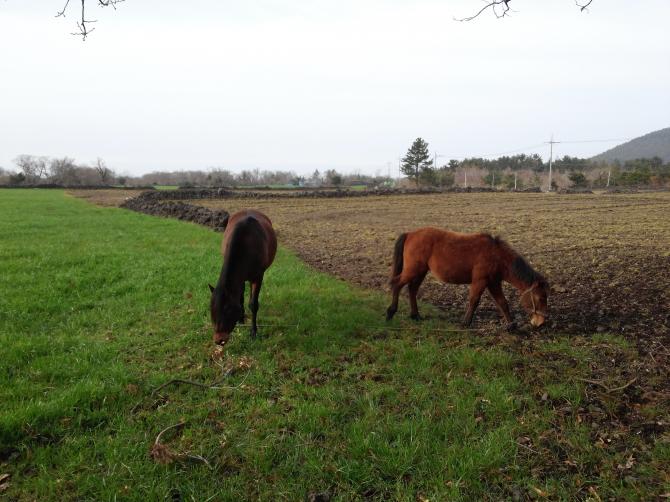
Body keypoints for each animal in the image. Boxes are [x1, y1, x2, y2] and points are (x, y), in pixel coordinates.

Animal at [207, 209, 276, 346]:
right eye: (211, 310)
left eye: (227, 310)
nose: (219, 340)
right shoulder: (240, 278)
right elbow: (240, 297)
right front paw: (240, 319)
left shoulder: (258, 276)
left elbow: (253, 304)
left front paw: (253, 332)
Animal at [386, 227, 548, 330]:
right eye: (541, 298)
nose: (540, 323)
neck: (496, 256)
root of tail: (410, 234)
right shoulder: (480, 281)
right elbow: (474, 300)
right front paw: (466, 322)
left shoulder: (493, 283)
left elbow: (503, 303)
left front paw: (511, 325)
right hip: (413, 270)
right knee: (397, 284)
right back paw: (391, 312)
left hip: (420, 272)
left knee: (412, 290)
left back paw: (415, 316)